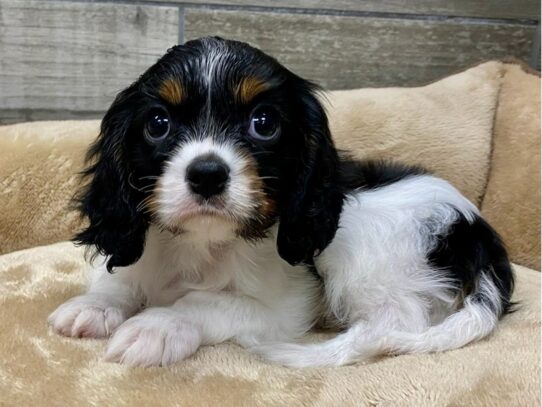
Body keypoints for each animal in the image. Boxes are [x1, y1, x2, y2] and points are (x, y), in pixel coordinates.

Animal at [49, 38, 516, 368]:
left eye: (264, 123)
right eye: (158, 124)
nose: (207, 173)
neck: (202, 244)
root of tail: (478, 232)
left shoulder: (284, 307)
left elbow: (205, 303)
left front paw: (158, 325)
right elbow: (124, 278)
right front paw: (96, 305)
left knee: (393, 323)